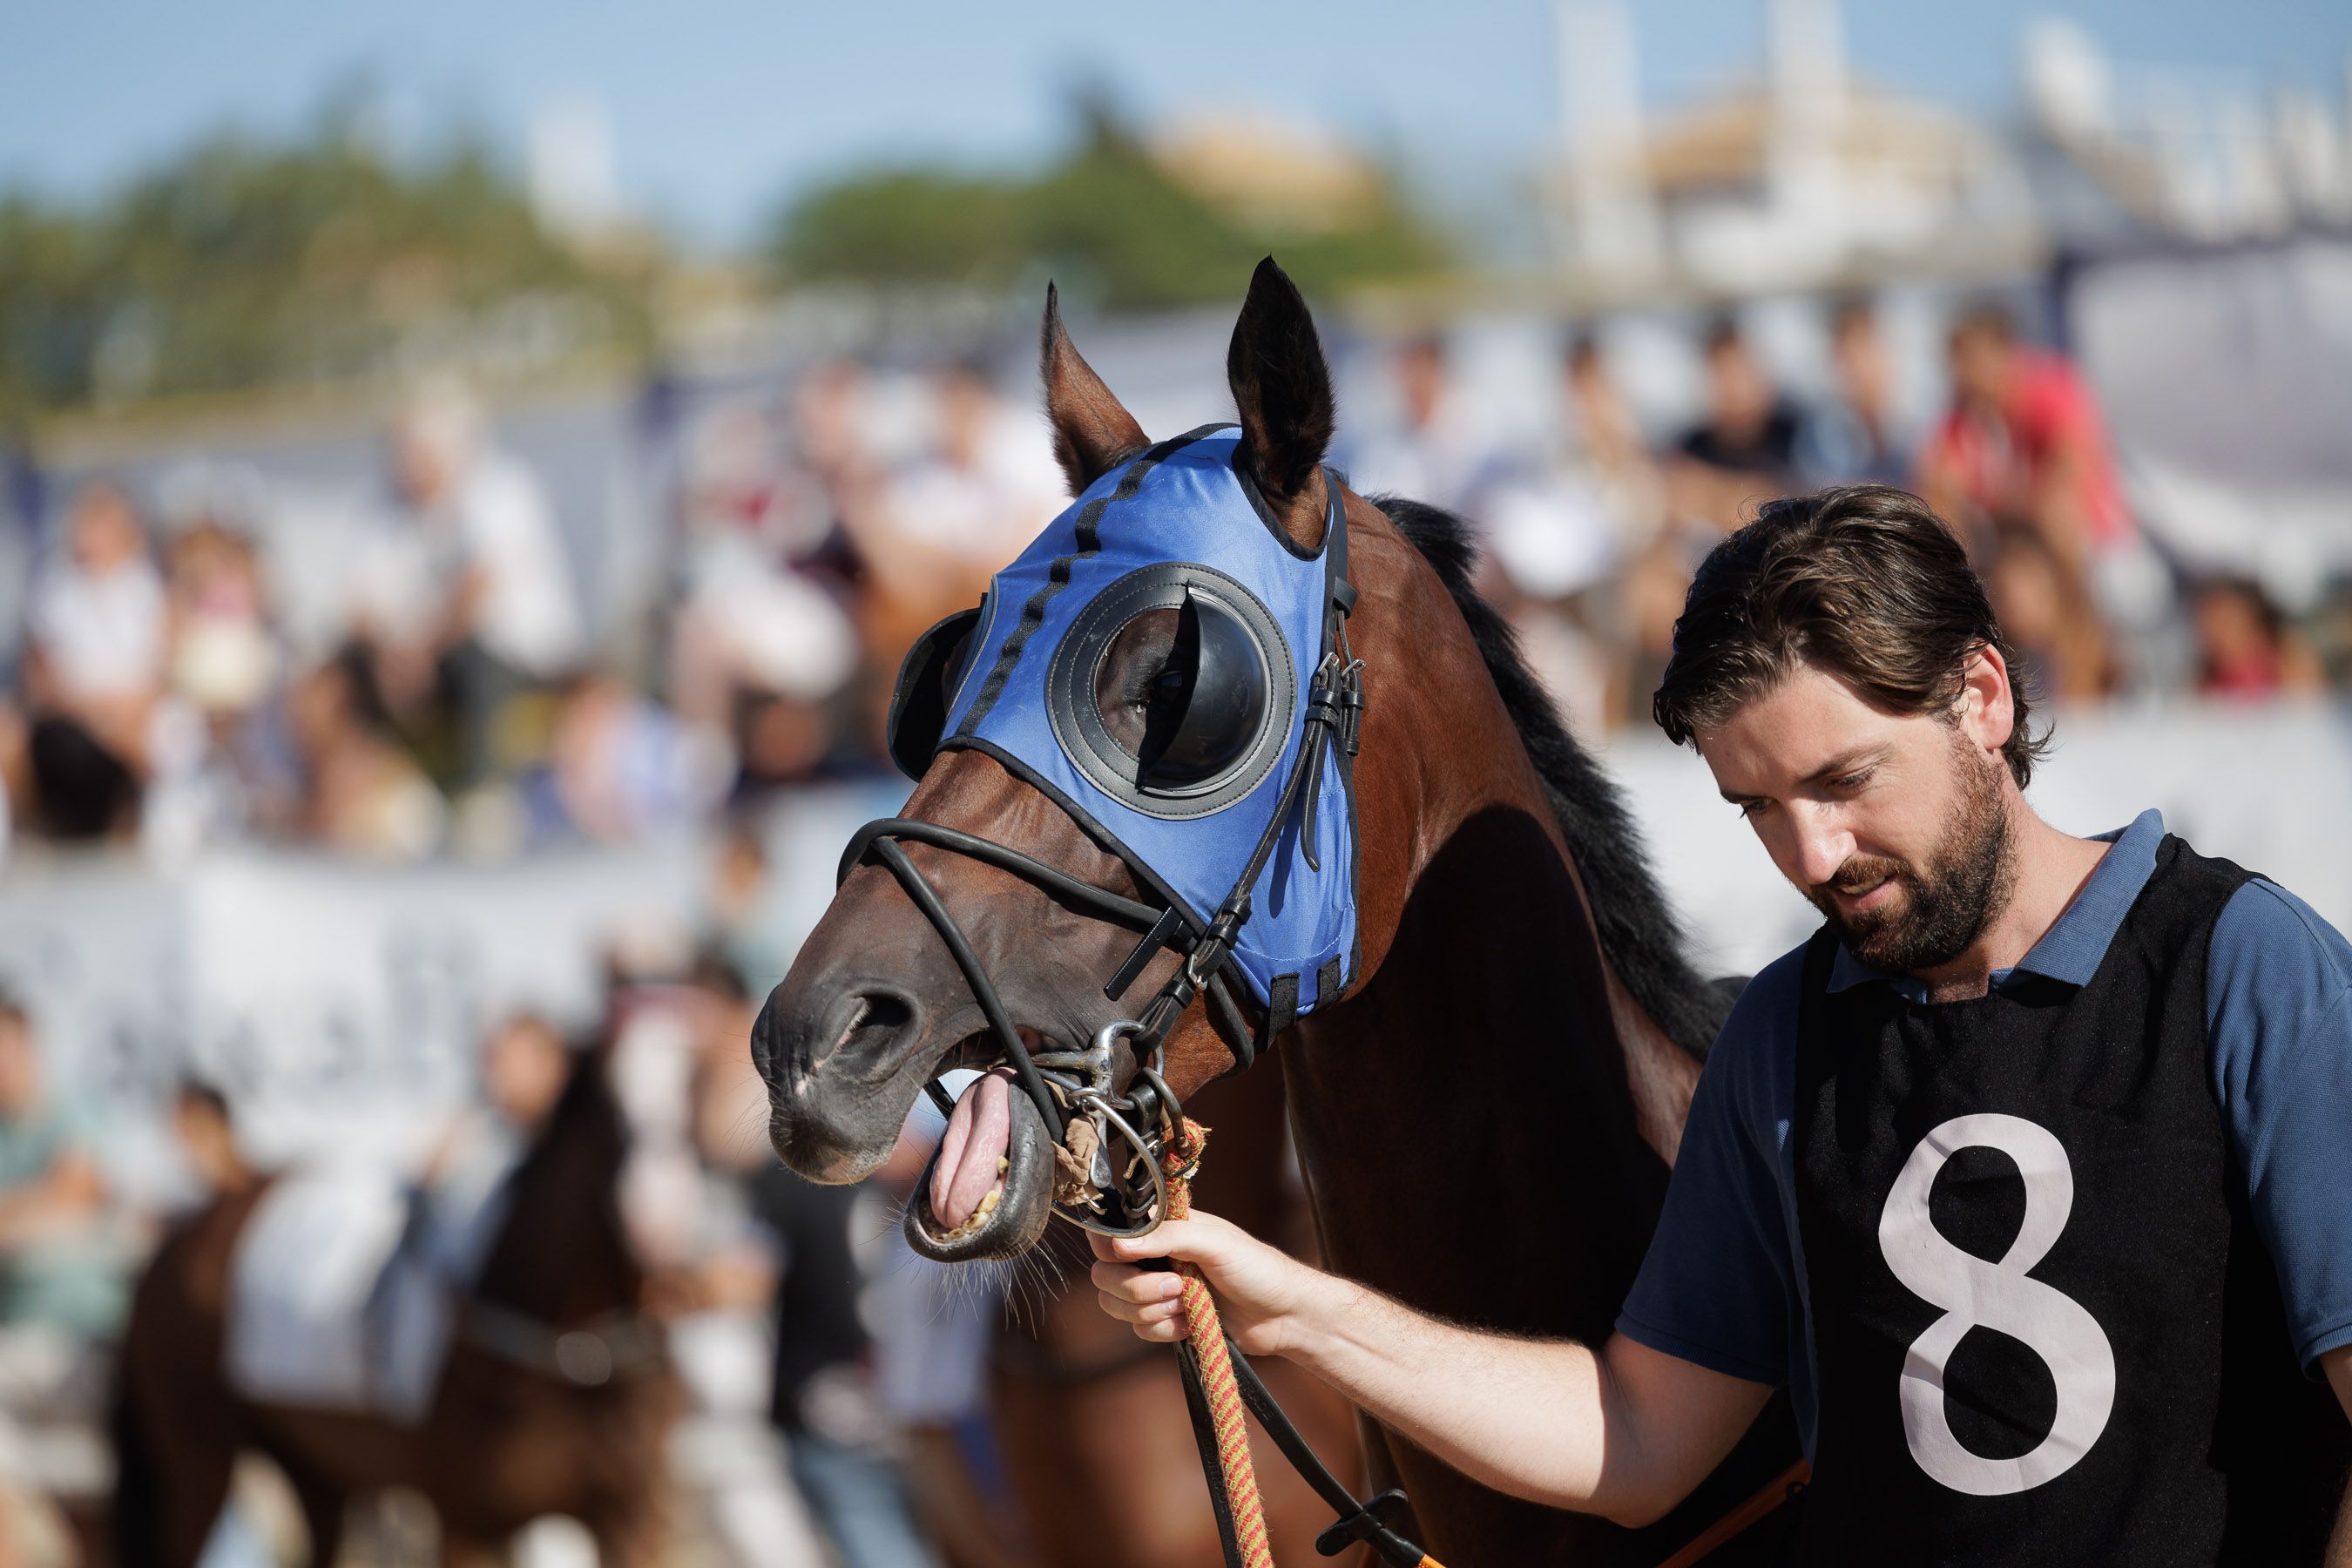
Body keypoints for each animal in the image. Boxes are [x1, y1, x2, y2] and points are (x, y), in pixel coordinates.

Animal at [112, 1038, 679, 1567]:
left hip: (314, 1469)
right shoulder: (465, 1519)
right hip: (198, 1466)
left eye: (691, 1087)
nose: (657, 1217)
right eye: (608, 1108)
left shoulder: (628, 1517)